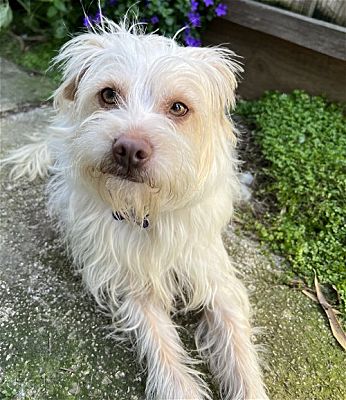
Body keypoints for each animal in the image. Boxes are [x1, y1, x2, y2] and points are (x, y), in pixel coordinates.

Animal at [4, 18, 268, 400]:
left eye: (178, 107)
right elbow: (161, 342)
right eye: (108, 94)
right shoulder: (132, 280)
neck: (145, 208)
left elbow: (237, 345)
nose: (129, 149)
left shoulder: (213, 274)